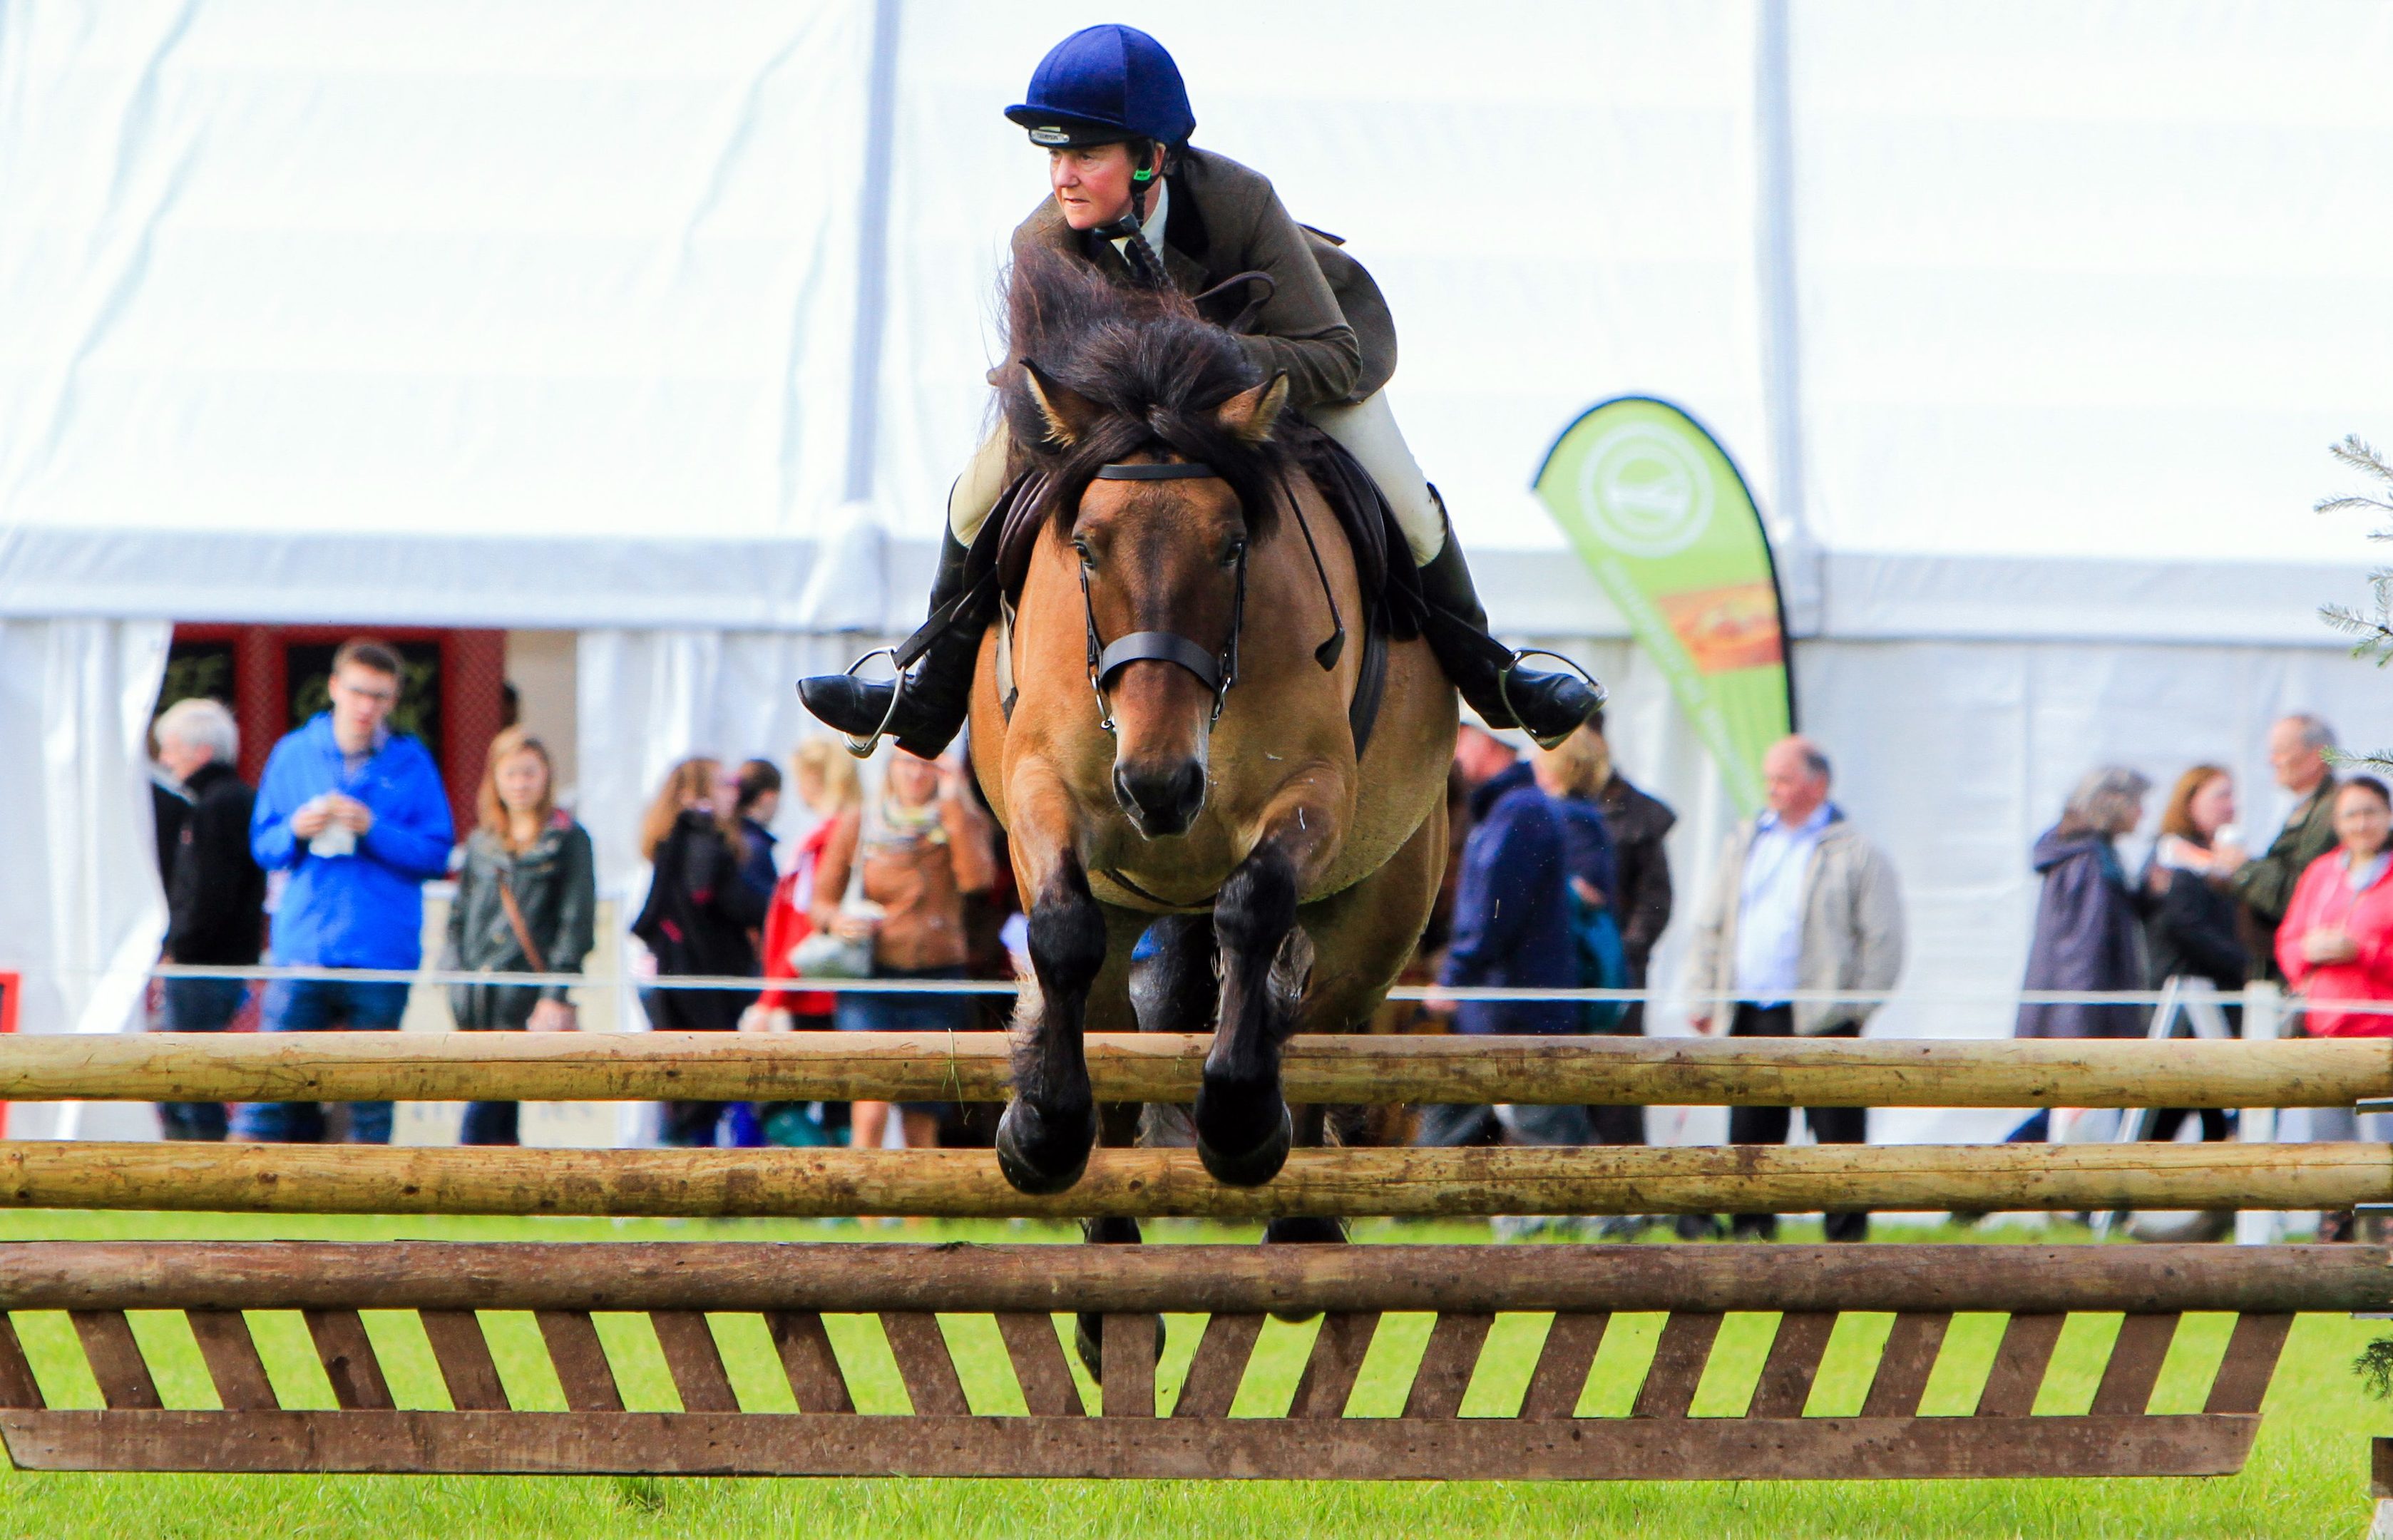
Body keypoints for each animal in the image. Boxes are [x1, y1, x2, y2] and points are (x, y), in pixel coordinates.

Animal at [971, 262, 1455, 1205]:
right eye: (1083, 548)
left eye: (1233, 547)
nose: (1157, 790)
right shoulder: (1042, 784)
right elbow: (1060, 929)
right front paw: (1040, 1131)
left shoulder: (1312, 789)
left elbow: (1252, 904)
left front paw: (1235, 1120)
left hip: (1377, 916)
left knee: (1322, 1036)